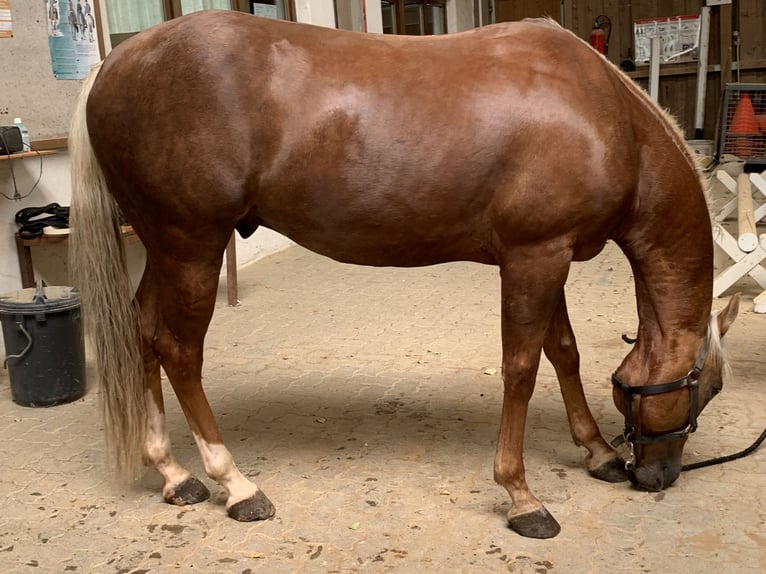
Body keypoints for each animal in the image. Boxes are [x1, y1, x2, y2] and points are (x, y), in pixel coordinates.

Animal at [69, 10, 739, 539]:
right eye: (706, 388)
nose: (656, 476)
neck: (607, 118)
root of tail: (118, 61)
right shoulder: (536, 257)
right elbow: (522, 369)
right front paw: (522, 496)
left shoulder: (547, 256)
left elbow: (564, 352)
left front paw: (596, 451)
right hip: (192, 246)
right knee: (179, 351)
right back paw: (235, 485)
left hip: (166, 248)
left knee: (142, 334)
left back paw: (173, 474)